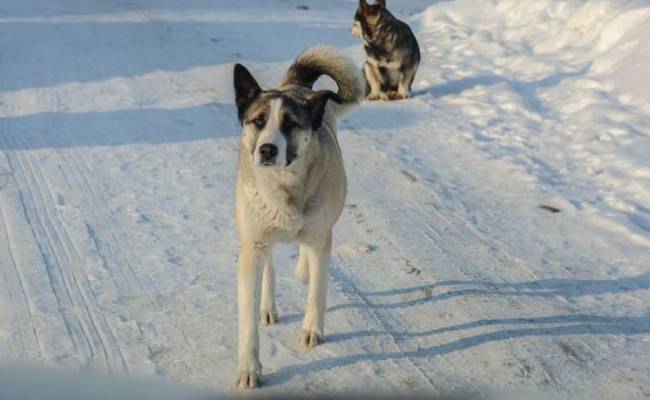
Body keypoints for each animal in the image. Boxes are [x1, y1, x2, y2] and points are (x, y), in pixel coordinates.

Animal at [232, 47, 364, 388]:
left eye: (290, 124)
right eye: (258, 121)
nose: (266, 150)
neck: (284, 187)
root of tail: (297, 86)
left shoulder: (321, 238)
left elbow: (318, 291)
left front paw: (311, 330)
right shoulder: (252, 247)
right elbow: (247, 318)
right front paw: (249, 369)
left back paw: (303, 270)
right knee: (269, 266)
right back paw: (268, 306)